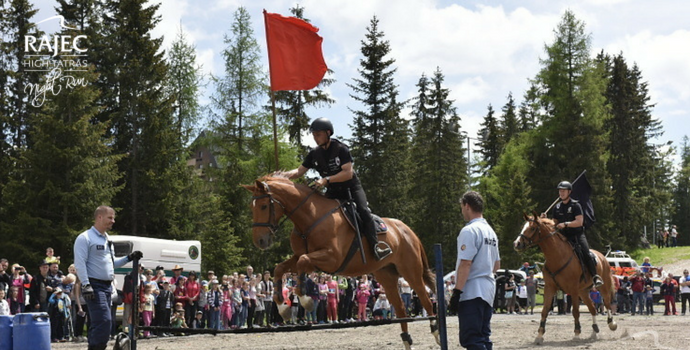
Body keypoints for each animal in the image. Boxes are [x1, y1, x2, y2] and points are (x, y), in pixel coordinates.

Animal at [242, 174, 436, 348]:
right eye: (251, 208)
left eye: (264, 206)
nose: (259, 241)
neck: (311, 218)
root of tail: (407, 230)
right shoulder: (303, 257)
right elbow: (281, 268)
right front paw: (283, 306)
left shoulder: (332, 258)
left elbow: (302, 263)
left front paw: (305, 299)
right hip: (386, 275)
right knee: (402, 309)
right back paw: (406, 340)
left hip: (410, 272)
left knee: (426, 300)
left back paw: (436, 333)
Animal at [510, 212, 620, 344]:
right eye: (523, 227)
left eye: (532, 228)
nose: (516, 244)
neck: (558, 257)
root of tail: (602, 257)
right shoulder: (549, 288)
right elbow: (545, 310)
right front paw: (540, 335)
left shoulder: (573, 290)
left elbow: (575, 311)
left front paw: (577, 333)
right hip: (583, 291)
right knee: (593, 308)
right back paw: (594, 332)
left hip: (603, 286)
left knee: (607, 304)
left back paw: (612, 323)